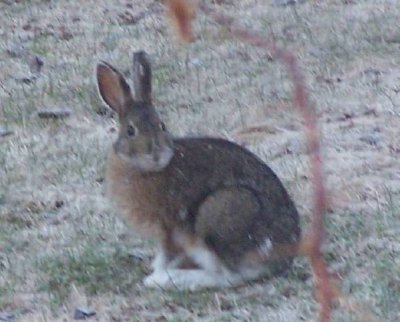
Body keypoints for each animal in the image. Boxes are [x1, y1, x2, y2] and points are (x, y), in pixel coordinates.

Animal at [96, 51, 300, 290]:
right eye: (130, 131)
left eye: (162, 125)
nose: (156, 153)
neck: (142, 169)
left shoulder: (170, 229)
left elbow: (167, 256)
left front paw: (158, 273)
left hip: (220, 214)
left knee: (229, 276)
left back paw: (167, 280)